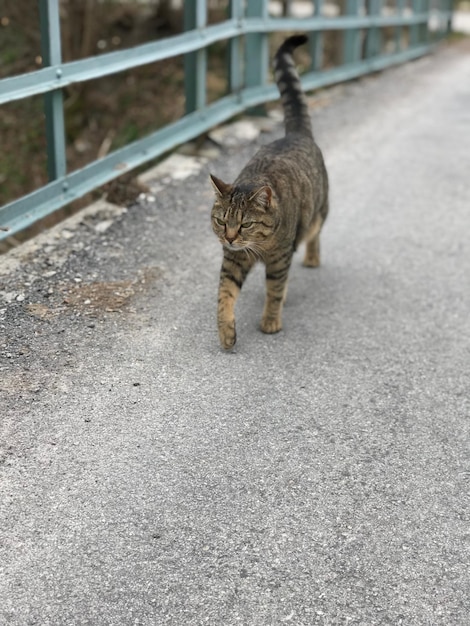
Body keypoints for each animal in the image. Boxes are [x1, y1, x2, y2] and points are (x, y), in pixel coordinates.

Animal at [211, 34, 328, 348]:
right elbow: (224, 296)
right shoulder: (233, 261)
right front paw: (226, 331)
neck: (257, 247)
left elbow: (274, 291)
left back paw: (312, 258)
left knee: (315, 234)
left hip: (316, 215)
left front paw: (271, 321)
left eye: (245, 224)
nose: (229, 237)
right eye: (222, 221)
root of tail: (295, 134)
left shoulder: (279, 258)